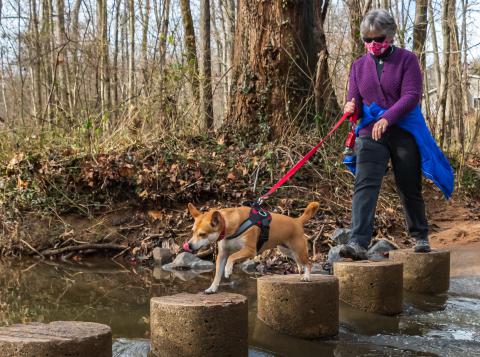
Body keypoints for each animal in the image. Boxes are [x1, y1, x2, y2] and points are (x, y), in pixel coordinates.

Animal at [186, 202, 320, 294]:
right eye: (192, 232)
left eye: (202, 234)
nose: (189, 245)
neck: (230, 225)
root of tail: (297, 221)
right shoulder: (222, 254)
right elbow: (218, 273)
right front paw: (212, 288)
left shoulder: (250, 250)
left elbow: (232, 256)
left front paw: (228, 270)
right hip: (287, 250)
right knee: (300, 262)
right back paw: (301, 271)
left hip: (299, 250)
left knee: (309, 263)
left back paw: (307, 276)